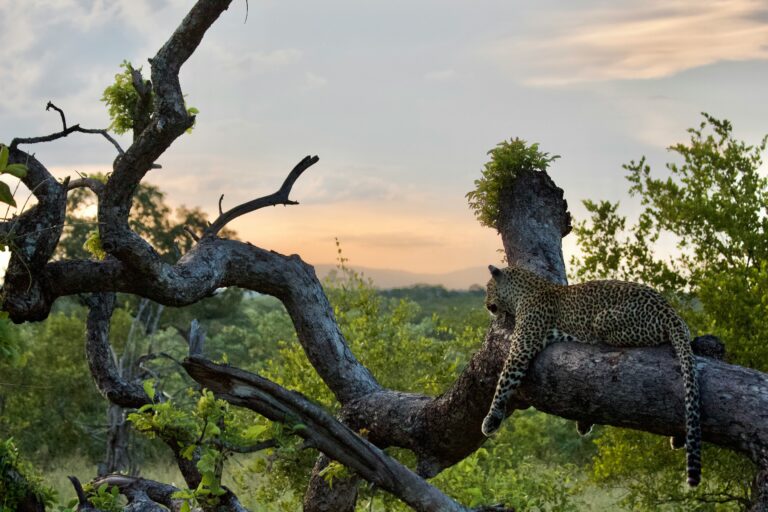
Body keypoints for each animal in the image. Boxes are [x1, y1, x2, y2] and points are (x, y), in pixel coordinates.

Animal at [481, 264, 702, 487]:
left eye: (489, 288)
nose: (486, 305)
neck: (524, 290)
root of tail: (671, 312)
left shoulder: (521, 349)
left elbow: (503, 383)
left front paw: (490, 420)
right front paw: (583, 423)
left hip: (603, 321)